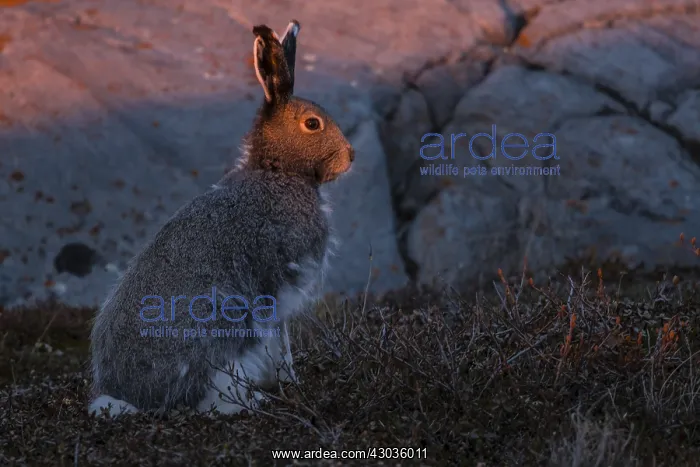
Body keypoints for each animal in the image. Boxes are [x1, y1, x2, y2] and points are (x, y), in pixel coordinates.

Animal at [88, 19, 355, 417]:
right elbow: (281, 342)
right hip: (222, 324)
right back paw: (251, 400)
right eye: (312, 124)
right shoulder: (278, 287)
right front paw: (289, 380)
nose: (350, 156)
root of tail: (130, 396)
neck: (276, 170)